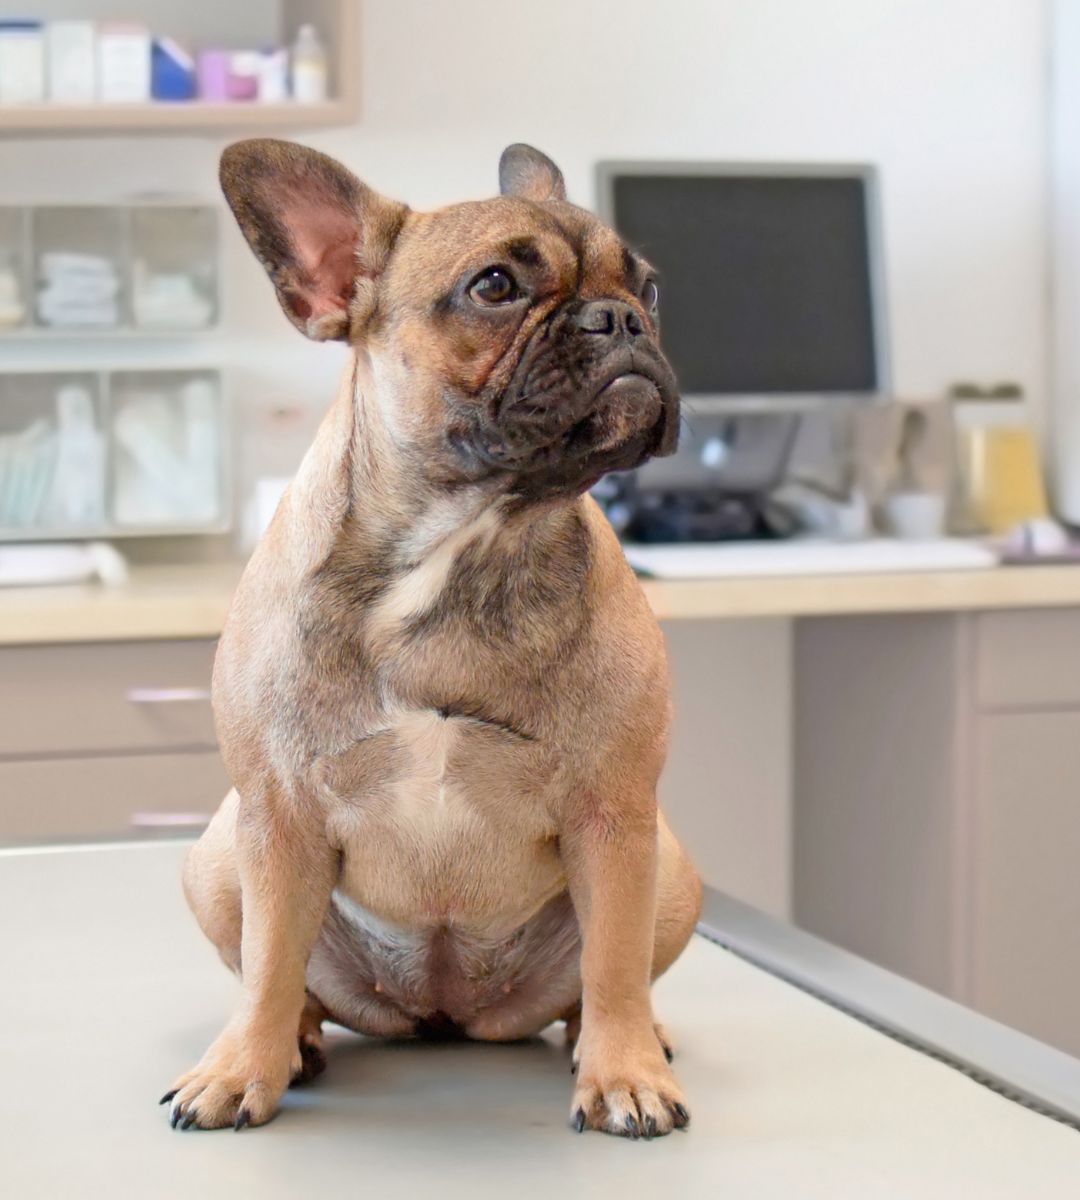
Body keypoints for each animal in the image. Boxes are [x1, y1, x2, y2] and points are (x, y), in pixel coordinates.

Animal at [160, 138, 700, 1132]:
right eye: (495, 286)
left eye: (650, 285)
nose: (623, 319)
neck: (468, 539)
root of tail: (444, 1011)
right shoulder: (277, 816)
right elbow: (266, 964)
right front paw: (238, 1069)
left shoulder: (613, 817)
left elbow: (613, 962)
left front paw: (625, 1075)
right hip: (218, 858)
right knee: (283, 976)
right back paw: (292, 1042)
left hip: (670, 871)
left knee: (603, 981)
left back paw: (621, 1041)